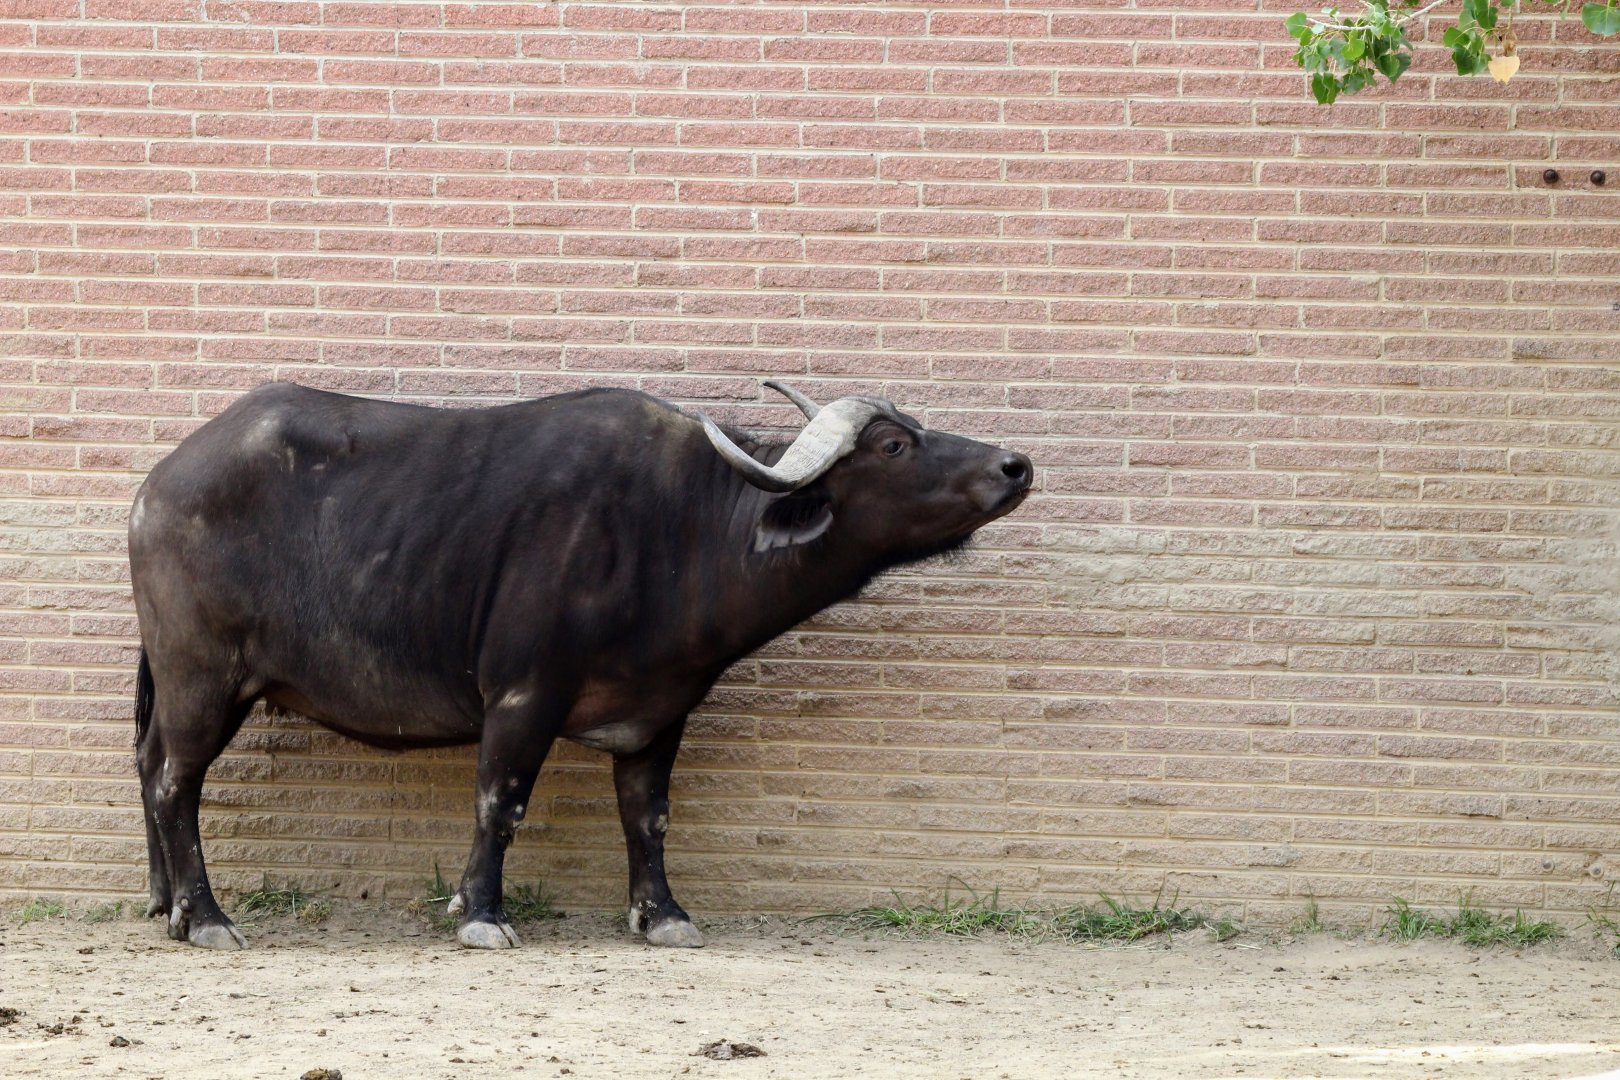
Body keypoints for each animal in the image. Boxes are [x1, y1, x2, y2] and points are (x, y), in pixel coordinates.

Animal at [129, 380, 1032, 950]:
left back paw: (163, 902)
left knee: (147, 766)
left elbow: (648, 816)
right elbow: (500, 803)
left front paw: (662, 914)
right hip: (203, 678)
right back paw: (206, 917)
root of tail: (154, 490)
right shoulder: (525, 695)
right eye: (894, 443)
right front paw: (481, 912)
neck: (678, 531)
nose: (1015, 465)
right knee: (177, 782)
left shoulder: (661, 714)